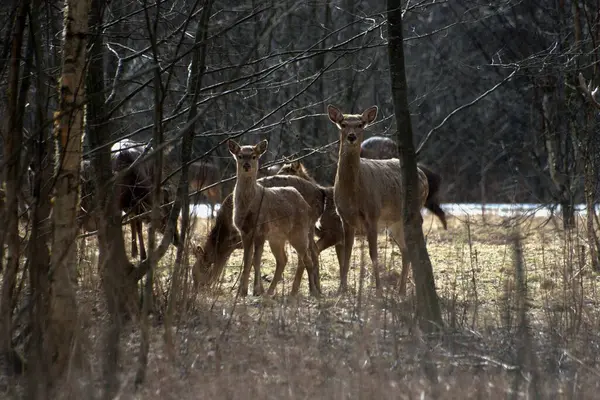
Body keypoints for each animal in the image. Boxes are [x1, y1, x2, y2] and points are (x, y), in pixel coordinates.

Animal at [226, 138, 318, 296]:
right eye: (240, 155)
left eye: (254, 156)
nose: (246, 165)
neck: (249, 205)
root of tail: (305, 204)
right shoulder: (244, 231)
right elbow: (247, 261)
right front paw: (242, 292)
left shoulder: (261, 229)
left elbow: (256, 260)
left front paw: (256, 291)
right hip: (277, 237)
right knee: (283, 260)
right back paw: (270, 292)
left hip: (298, 233)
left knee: (306, 259)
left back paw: (312, 293)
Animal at [326, 104, 428, 296]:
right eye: (343, 124)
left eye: (360, 124)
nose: (351, 137)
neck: (353, 195)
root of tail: (423, 174)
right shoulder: (345, 219)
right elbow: (346, 255)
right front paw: (341, 289)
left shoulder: (373, 215)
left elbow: (373, 255)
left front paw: (379, 290)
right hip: (394, 223)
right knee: (406, 250)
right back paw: (401, 290)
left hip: (413, 211)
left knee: (415, 246)